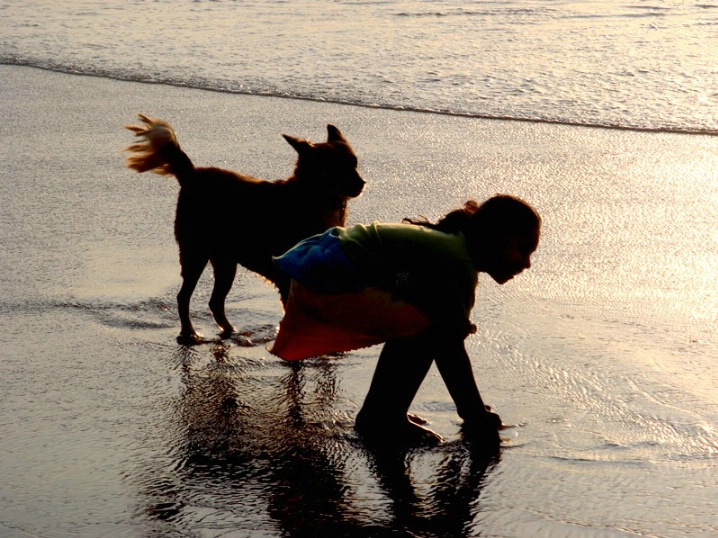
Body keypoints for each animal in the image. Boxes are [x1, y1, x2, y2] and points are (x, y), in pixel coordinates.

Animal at [125, 114, 366, 344]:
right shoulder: (287, 278)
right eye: (335, 167)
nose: (362, 183)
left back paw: (231, 331)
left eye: (354, 162)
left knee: (215, 301)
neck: (315, 198)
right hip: (196, 253)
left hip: (225, 262)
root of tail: (192, 173)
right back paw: (190, 333)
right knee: (184, 297)